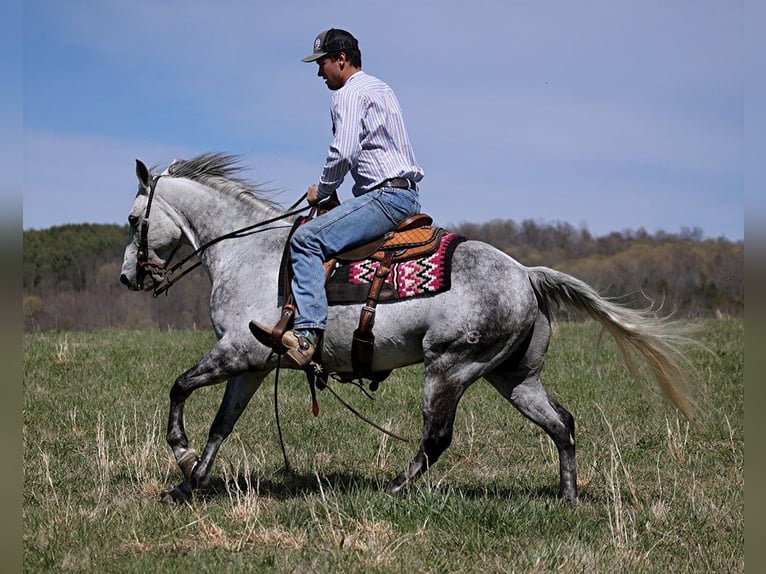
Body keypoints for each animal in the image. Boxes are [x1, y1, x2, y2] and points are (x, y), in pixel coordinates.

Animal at [121, 153, 704, 504]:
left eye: (132, 220)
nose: (129, 276)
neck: (251, 253)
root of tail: (526, 274)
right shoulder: (253, 364)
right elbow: (223, 424)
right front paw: (190, 486)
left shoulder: (238, 350)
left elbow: (179, 388)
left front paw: (180, 453)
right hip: (514, 376)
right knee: (561, 424)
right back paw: (568, 497)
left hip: (448, 368)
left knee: (437, 437)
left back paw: (396, 491)